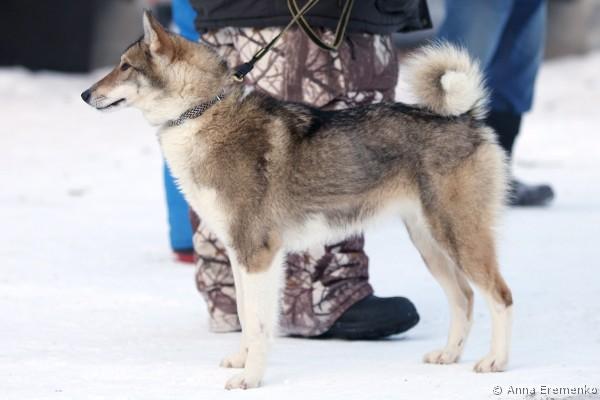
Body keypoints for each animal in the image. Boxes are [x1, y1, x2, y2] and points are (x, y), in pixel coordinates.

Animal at [82, 11, 513, 390]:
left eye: (125, 67)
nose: (85, 94)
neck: (200, 115)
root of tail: (466, 117)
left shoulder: (259, 254)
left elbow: (259, 325)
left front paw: (250, 379)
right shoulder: (239, 254)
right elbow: (244, 316)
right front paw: (242, 361)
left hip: (458, 237)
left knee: (500, 297)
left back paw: (496, 361)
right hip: (431, 243)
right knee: (465, 298)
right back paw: (449, 355)